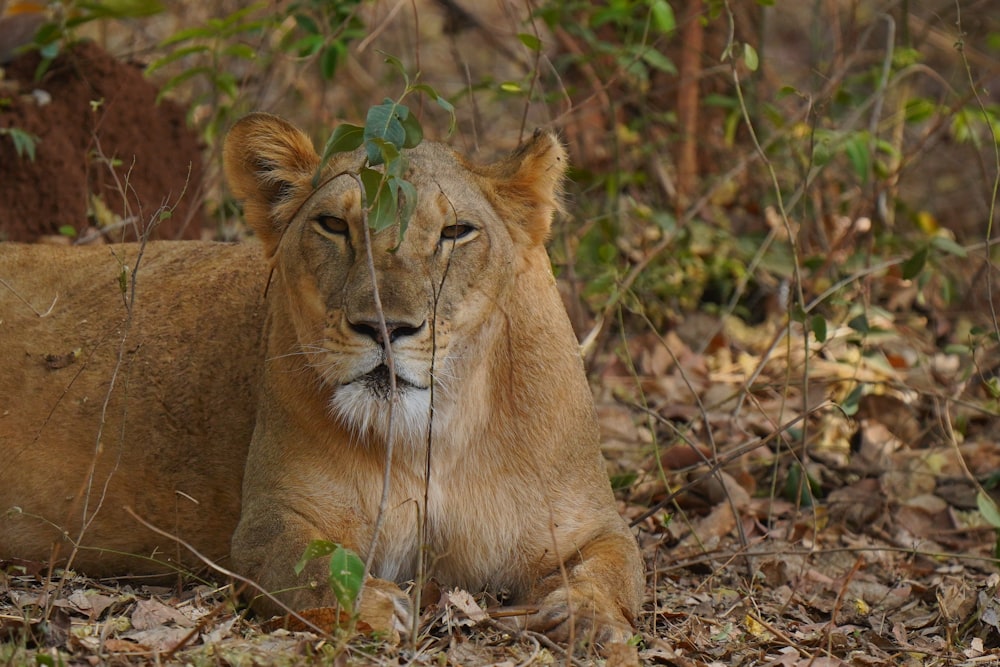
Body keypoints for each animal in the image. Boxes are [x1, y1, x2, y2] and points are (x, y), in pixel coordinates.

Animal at [0, 112, 644, 644]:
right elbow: (309, 564)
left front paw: (584, 619)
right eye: (335, 225)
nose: (384, 326)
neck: (435, 436)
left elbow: (616, 567)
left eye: (455, 233)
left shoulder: (588, 525)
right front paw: (375, 605)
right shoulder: (272, 519)